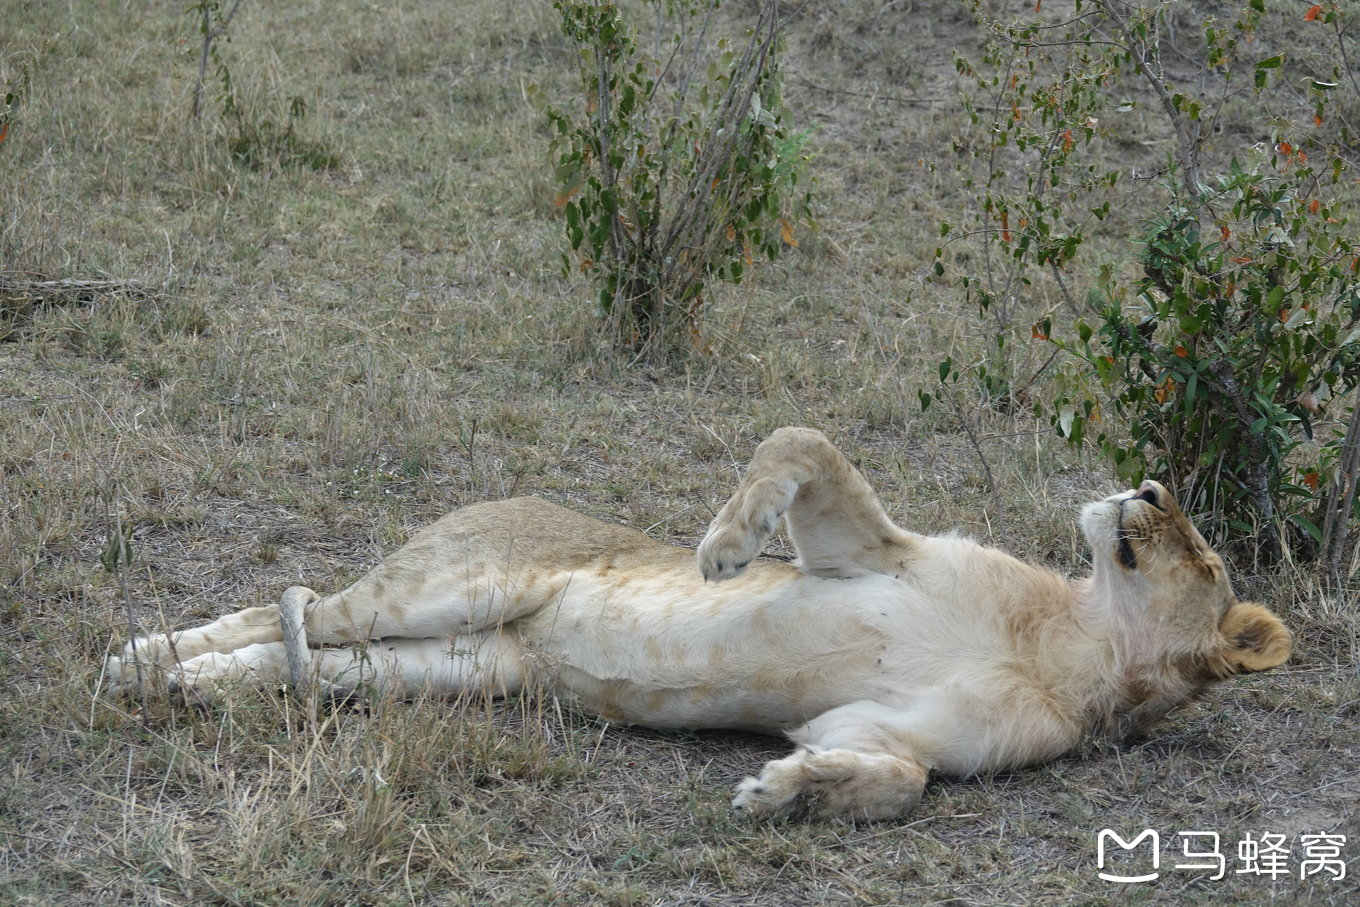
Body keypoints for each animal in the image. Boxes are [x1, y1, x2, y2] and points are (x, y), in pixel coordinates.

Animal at [106, 426, 1283, 821]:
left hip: (456, 666)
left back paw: (178, 684)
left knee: (302, 653)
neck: (1068, 637)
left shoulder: (894, 729)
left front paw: (787, 791)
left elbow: (898, 781)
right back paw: (138, 658)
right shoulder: (865, 548)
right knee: (292, 603)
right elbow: (798, 442)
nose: (1145, 480)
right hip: (444, 586)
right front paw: (725, 546)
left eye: (1200, 547)